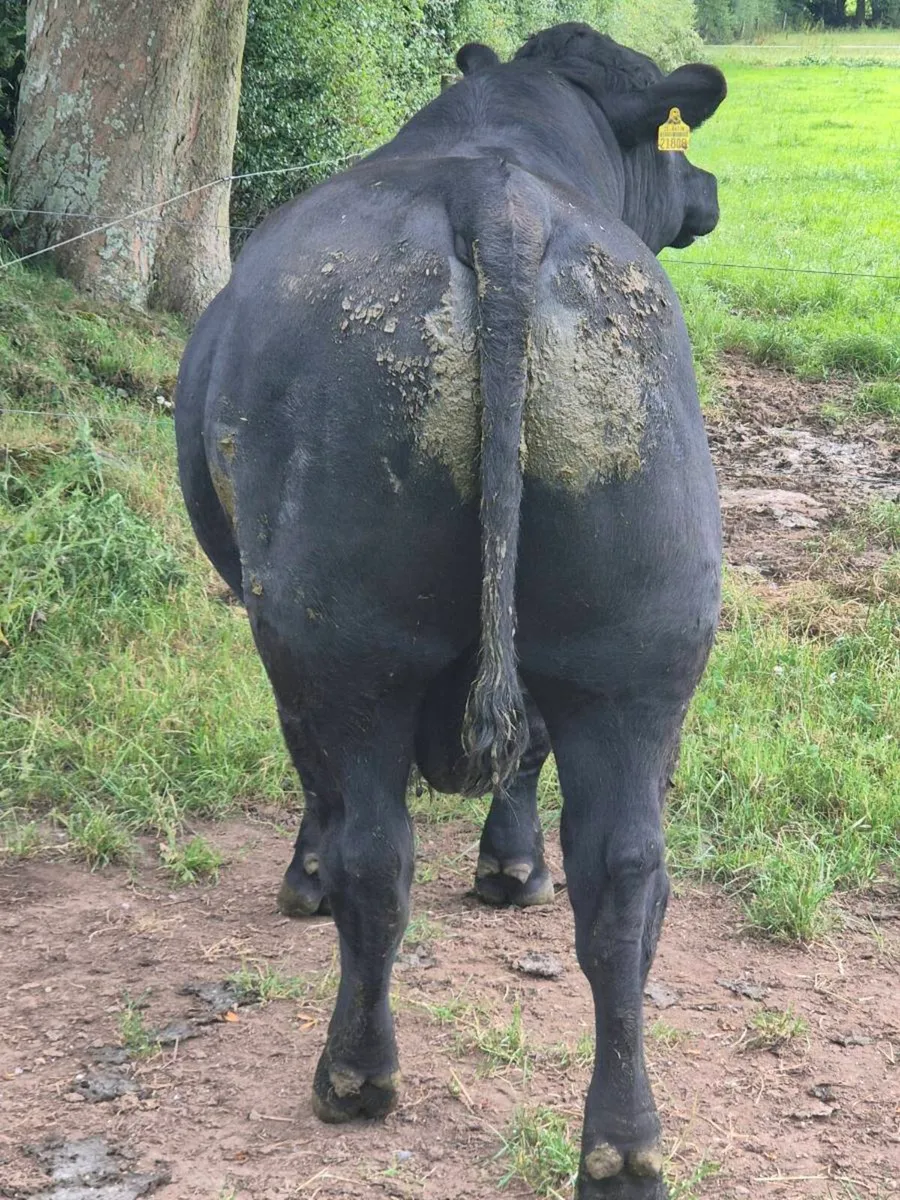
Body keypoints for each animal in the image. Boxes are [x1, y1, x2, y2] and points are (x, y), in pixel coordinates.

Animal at [175, 24, 726, 1198]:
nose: (705, 188)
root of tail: (498, 203)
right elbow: (525, 762)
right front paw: (511, 869)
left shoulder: (277, 631)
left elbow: (316, 782)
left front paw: (301, 878)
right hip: (642, 646)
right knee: (623, 879)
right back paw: (624, 1144)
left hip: (342, 637)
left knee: (376, 856)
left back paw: (354, 1074)